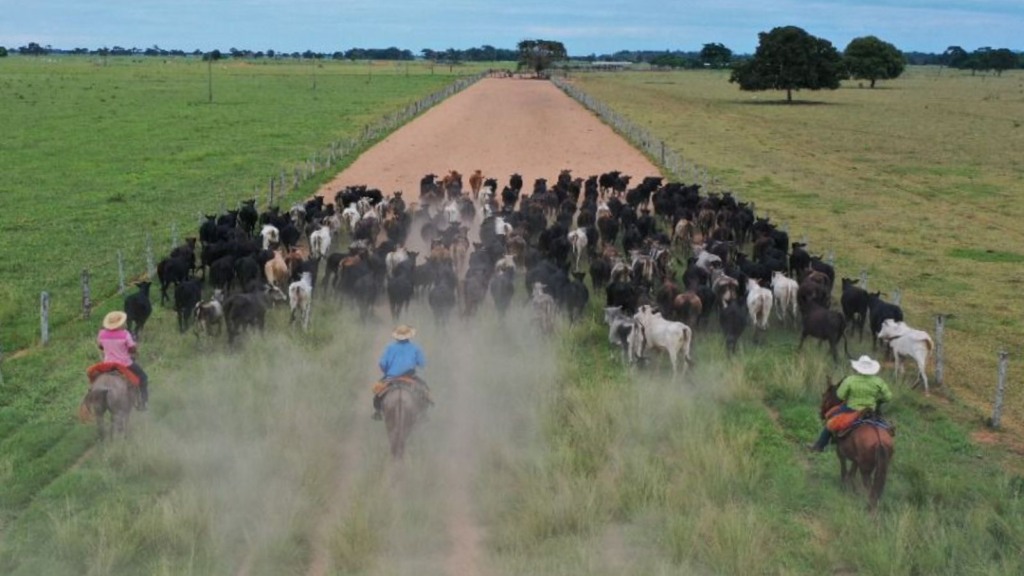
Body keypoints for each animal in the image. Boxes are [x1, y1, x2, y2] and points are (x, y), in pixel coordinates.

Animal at [819, 379, 892, 508]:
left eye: (824, 395)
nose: (820, 413)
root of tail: (879, 439)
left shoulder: (840, 452)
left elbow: (844, 470)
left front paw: (844, 486)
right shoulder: (856, 459)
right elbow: (852, 472)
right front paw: (851, 488)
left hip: (865, 470)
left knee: (870, 489)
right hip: (880, 466)